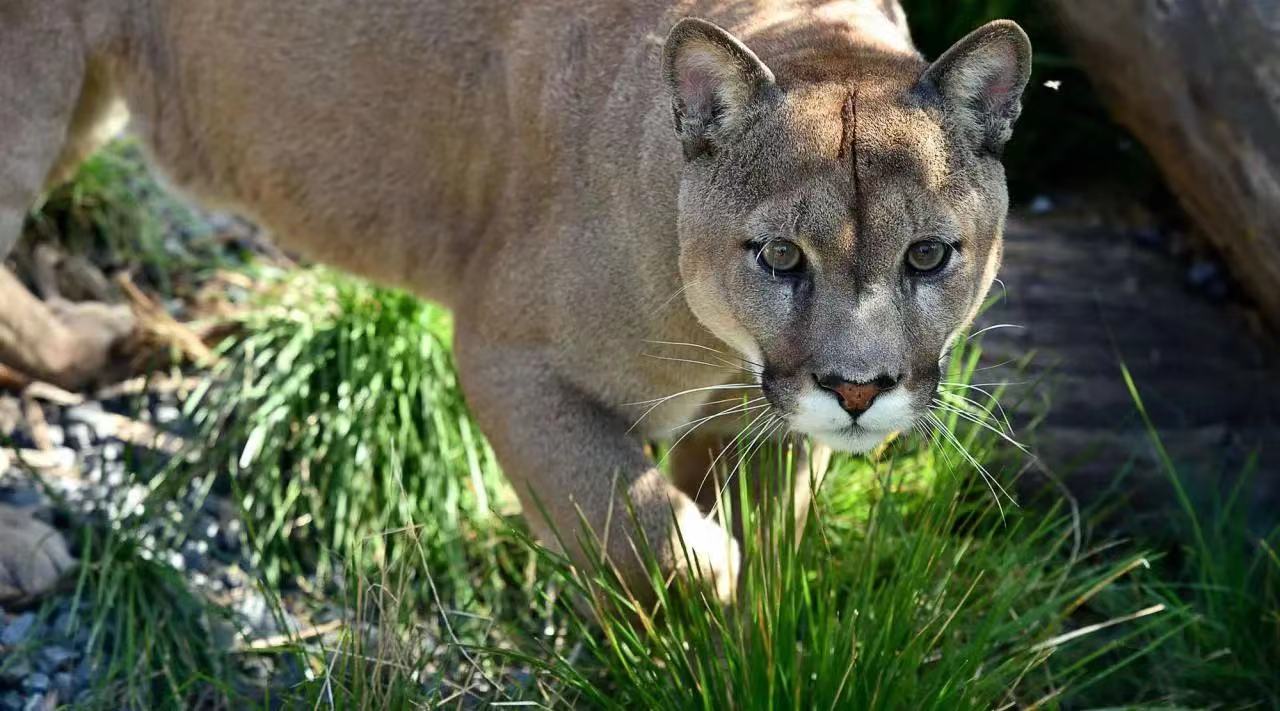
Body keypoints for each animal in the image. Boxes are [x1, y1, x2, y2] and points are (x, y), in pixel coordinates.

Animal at [0, 0, 1024, 604]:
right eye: (779, 256)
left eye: (928, 255)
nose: (858, 389)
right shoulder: (509, 361)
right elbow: (655, 535)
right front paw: (703, 603)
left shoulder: (761, 430)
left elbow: (762, 547)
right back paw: (25, 545)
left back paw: (88, 345)